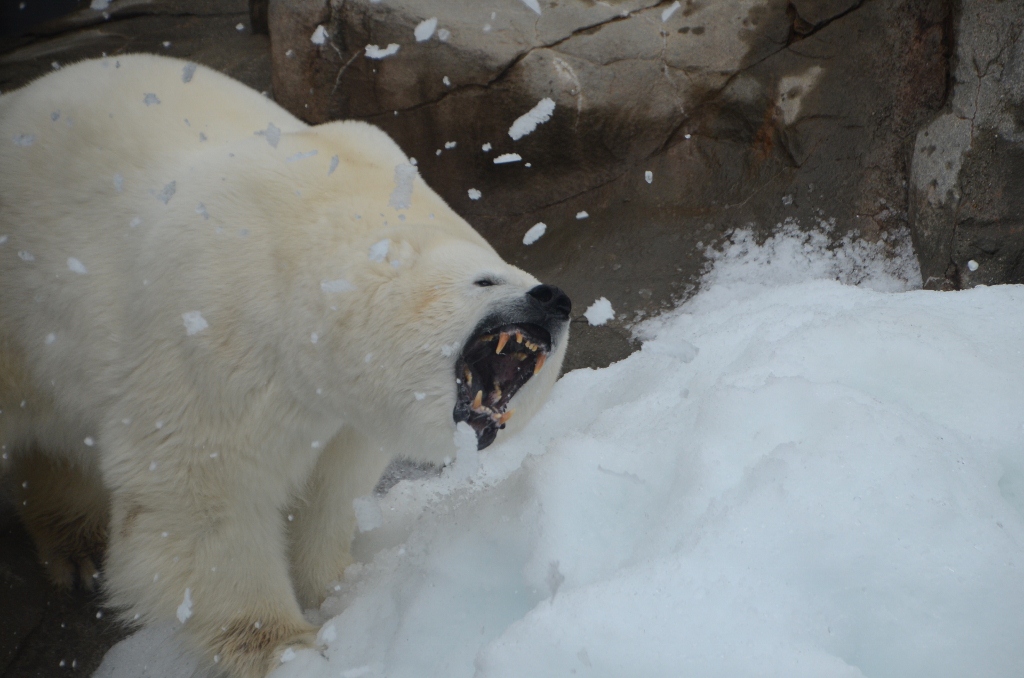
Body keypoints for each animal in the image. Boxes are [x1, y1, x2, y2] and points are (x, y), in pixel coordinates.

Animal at [0, 54, 569, 678]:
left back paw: (76, 544)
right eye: (486, 280)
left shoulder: (342, 412)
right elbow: (205, 493)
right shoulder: (211, 329)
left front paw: (342, 587)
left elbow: (332, 486)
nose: (553, 299)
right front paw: (286, 645)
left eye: (515, 273)